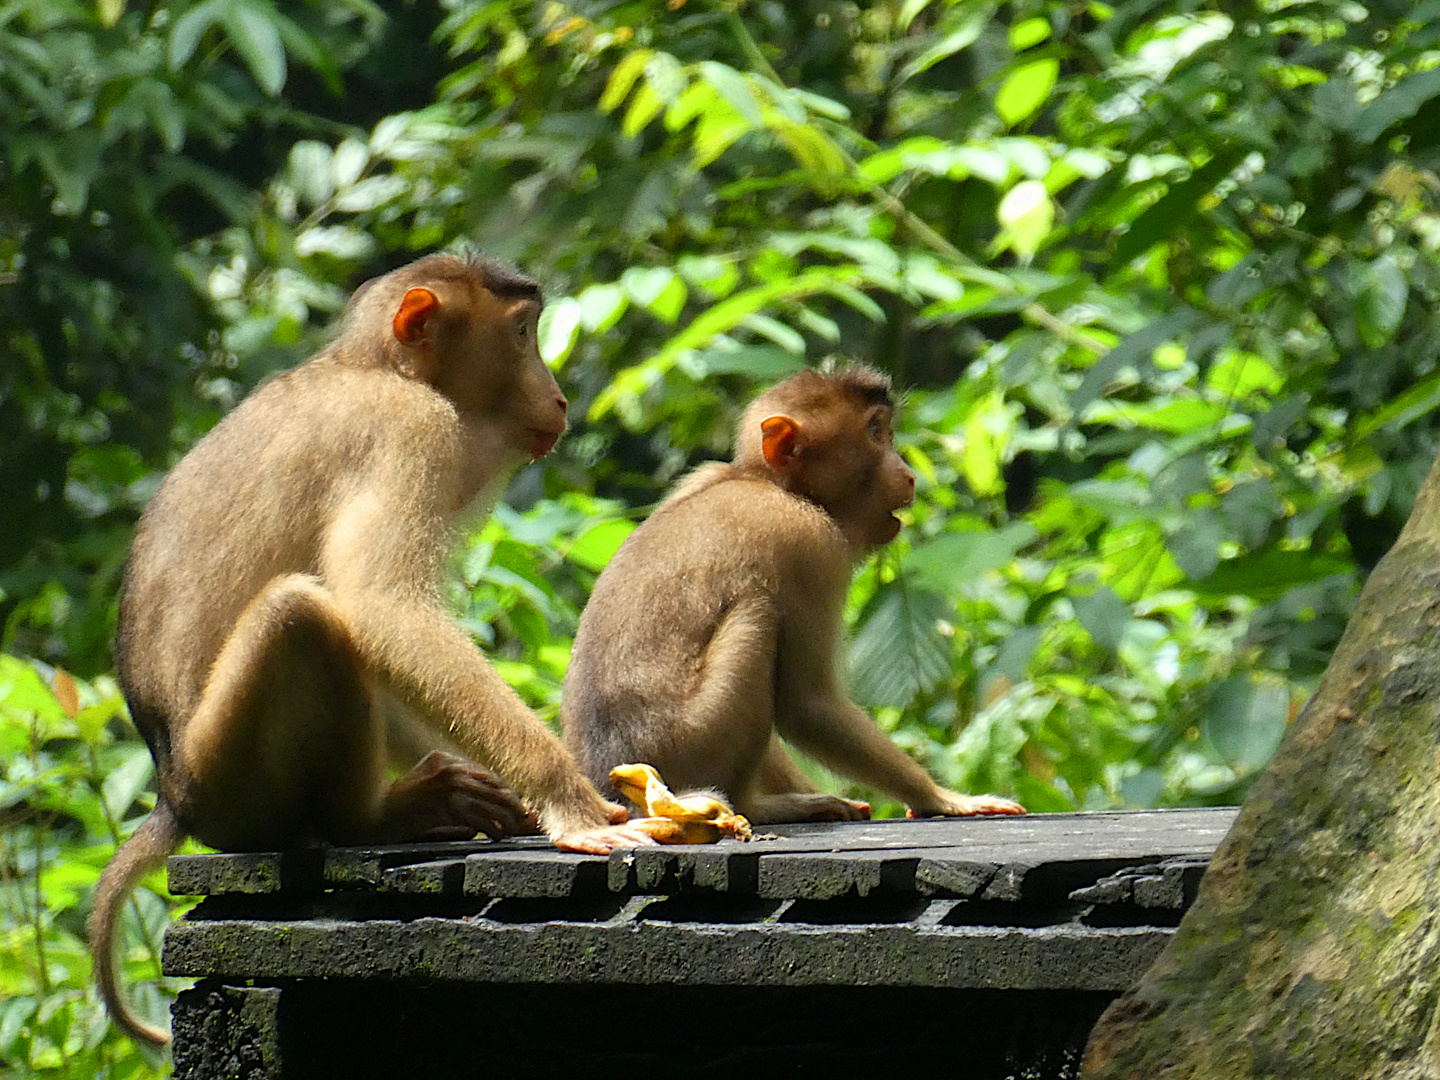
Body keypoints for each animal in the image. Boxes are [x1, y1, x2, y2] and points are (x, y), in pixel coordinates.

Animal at [91, 253, 653, 1048]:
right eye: (522, 334)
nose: (560, 396)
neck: (371, 364)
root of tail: (174, 794)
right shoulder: (411, 430)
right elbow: (382, 609)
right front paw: (566, 798)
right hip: (230, 779)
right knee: (301, 614)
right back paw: (373, 819)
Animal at [558, 368, 1025, 823]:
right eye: (876, 432)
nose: (908, 474)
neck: (767, 481)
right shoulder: (812, 545)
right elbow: (807, 704)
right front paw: (941, 798)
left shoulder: (702, 474)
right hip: (694, 742)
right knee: (761, 616)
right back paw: (754, 806)